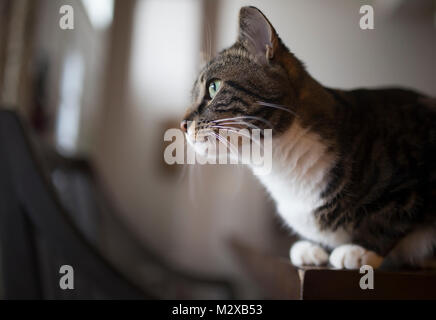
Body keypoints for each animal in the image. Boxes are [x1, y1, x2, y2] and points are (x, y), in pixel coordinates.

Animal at [181, 6, 436, 268]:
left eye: (213, 87)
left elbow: (392, 217)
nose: (182, 123)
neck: (281, 166)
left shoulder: (413, 181)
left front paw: (360, 249)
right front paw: (313, 248)